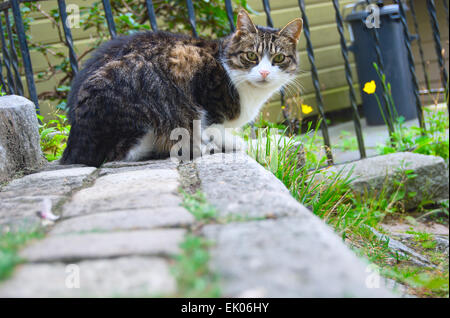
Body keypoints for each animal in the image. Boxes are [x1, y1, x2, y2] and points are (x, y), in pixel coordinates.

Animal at [60, 9, 302, 166]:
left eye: (279, 58)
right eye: (251, 56)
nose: (264, 73)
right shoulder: (202, 90)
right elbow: (218, 132)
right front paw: (246, 143)